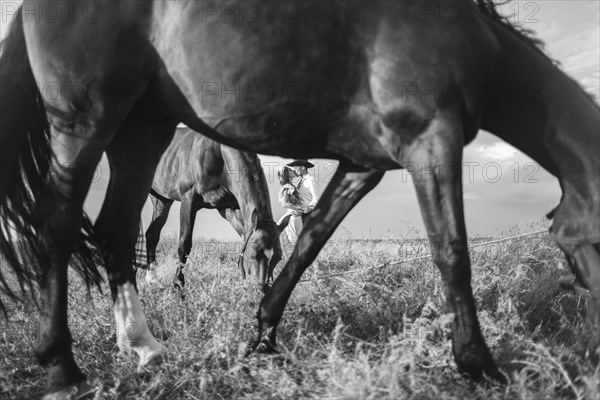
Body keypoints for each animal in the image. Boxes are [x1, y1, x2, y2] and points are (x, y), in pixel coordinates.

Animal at [143, 126, 282, 292]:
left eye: (278, 258)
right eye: (252, 254)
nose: (261, 289)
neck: (219, 156)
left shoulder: (228, 208)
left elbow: (243, 234)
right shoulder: (188, 201)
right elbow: (184, 244)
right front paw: (178, 284)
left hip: (162, 200)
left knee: (152, 234)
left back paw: (152, 279)